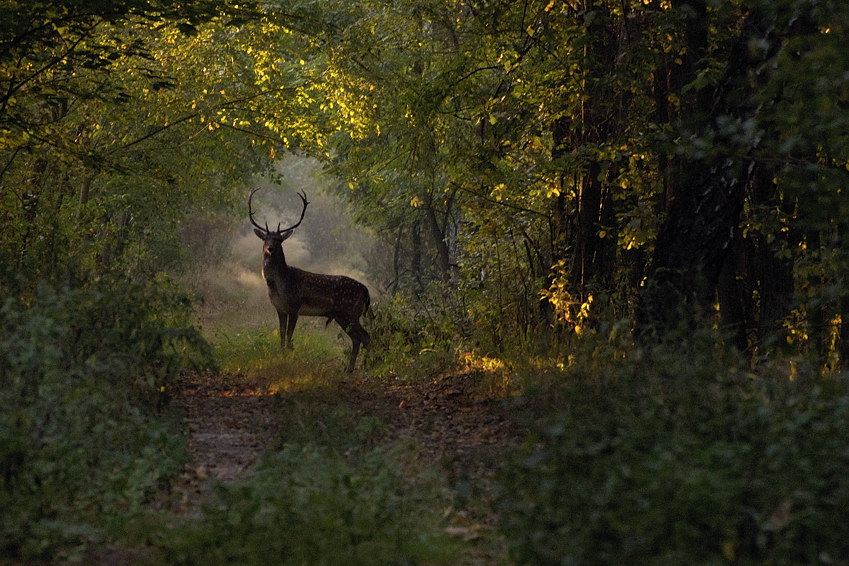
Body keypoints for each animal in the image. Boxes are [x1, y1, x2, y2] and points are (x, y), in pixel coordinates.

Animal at [250, 189, 372, 374]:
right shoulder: (280, 308)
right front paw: (281, 354)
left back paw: (364, 367)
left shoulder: (295, 305)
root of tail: (366, 291)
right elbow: (282, 334)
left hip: (350, 311)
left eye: (279, 239)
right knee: (358, 338)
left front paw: (288, 356)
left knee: (365, 336)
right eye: (265, 239)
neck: (278, 285)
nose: (270, 248)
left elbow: (289, 335)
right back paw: (350, 369)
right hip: (342, 315)